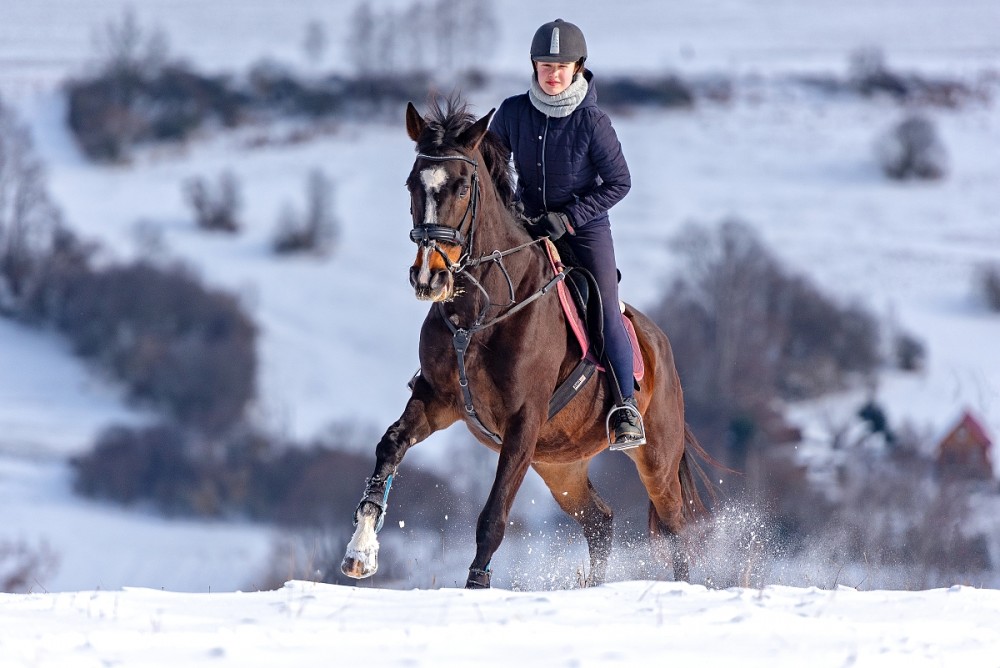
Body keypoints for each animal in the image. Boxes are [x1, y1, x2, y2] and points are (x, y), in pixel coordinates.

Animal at [342, 96, 712, 588]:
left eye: (463, 187)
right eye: (411, 185)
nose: (428, 277)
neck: (480, 311)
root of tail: (660, 344)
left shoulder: (522, 422)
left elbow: (493, 517)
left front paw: (476, 587)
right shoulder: (437, 400)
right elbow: (389, 447)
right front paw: (360, 552)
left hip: (655, 456)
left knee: (674, 528)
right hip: (559, 465)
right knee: (600, 521)